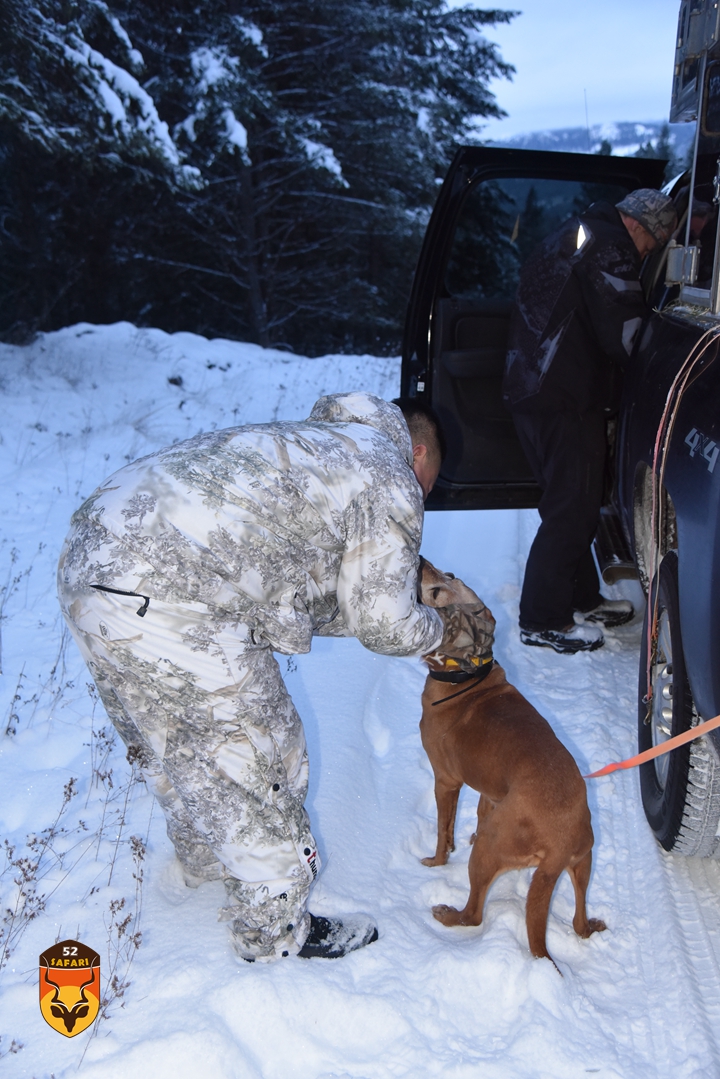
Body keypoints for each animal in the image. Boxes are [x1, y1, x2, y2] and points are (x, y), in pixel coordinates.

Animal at [418, 561, 604, 966]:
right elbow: (473, 816)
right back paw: (591, 925)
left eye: (440, 591)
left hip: (489, 852)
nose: (420, 560)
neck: (466, 678)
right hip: (583, 861)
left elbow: (442, 831)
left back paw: (448, 914)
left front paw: (436, 861)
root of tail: (561, 842)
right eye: (449, 575)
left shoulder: (445, 780)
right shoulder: (489, 791)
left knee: (474, 914)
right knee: (579, 921)